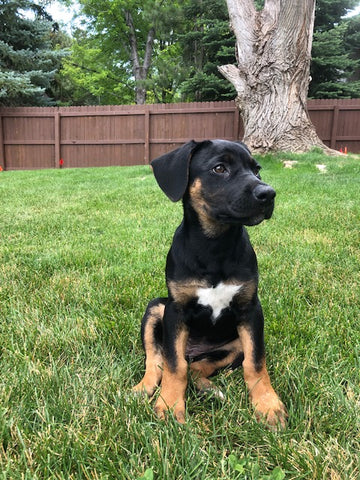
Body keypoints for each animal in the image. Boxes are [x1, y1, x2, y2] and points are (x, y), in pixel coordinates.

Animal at [133, 139, 286, 428]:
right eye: (219, 168)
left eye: (256, 169)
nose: (269, 193)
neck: (215, 246)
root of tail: (193, 350)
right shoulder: (176, 310)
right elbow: (173, 365)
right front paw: (170, 405)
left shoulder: (251, 310)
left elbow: (256, 362)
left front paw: (267, 404)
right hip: (156, 308)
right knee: (158, 359)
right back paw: (143, 388)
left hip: (232, 346)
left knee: (197, 367)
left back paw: (209, 388)